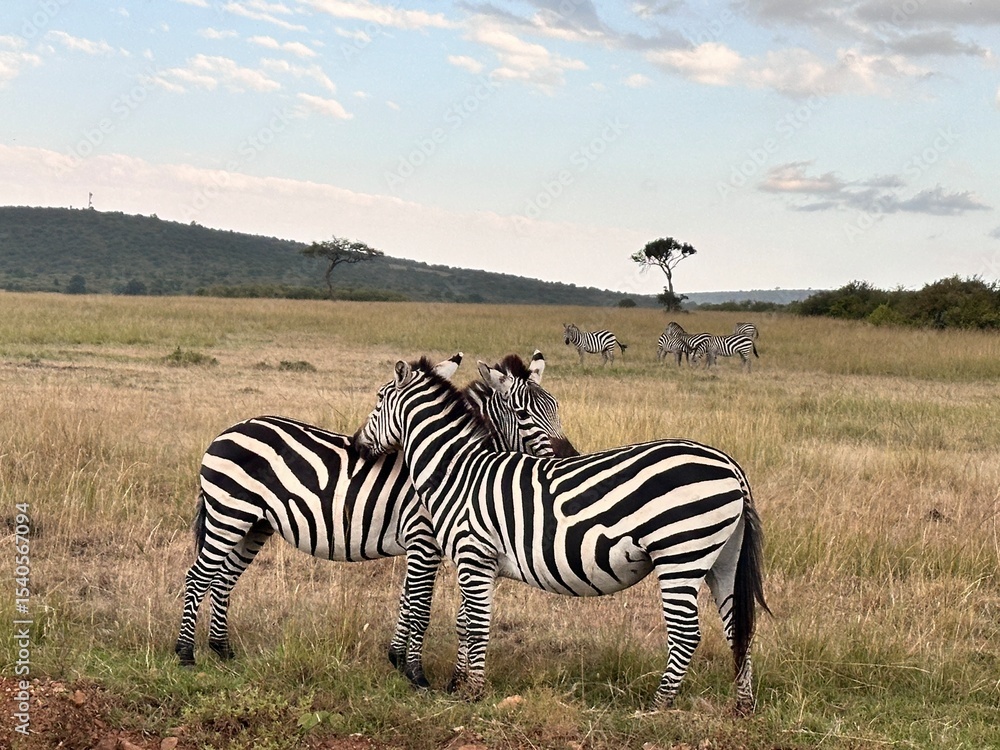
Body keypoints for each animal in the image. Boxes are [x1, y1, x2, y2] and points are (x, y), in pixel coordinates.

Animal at [174, 351, 575, 689]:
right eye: (524, 415)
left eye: (556, 407)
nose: (570, 456)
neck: (451, 465)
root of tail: (228, 430)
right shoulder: (424, 539)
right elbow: (420, 607)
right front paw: (416, 675)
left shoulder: (423, 545)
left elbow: (407, 601)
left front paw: (397, 659)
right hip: (229, 513)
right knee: (198, 576)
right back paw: (186, 655)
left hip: (254, 523)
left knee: (223, 579)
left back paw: (223, 650)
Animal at [353, 357, 770, 713]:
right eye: (523, 413)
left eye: (378, 399)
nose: (358, 446)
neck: (459, 471)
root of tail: (731, 466)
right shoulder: (483, 564)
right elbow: (465, 621)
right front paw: (459, 683)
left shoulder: (474, 554)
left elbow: (476, 623)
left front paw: (472, 693)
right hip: (723, 560)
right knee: (739, 629)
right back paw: (742, 707)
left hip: (680, 554)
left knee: (686, 634)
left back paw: (656, 707)